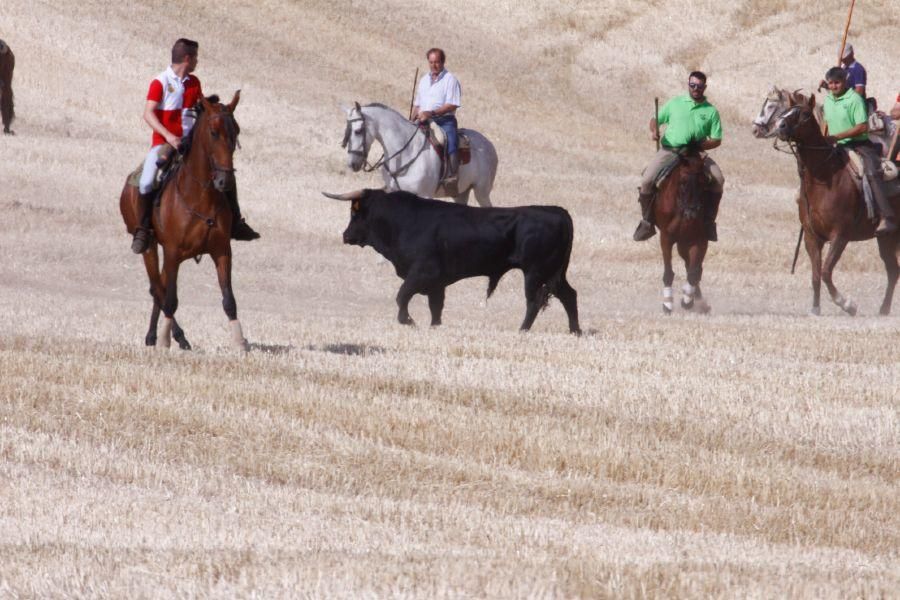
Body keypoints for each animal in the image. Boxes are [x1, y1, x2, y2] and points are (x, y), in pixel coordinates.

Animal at [118, 91, 250, 350]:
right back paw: (174, 337)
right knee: (157, 288)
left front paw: (240, 342)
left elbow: (229, 299)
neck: (200, 196)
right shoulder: (173, 252)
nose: (225, 181)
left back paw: (152, 335)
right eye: (213, 132)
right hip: (150, 246)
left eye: (236, 131)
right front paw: (166, 340)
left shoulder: (222, 251)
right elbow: (171, 299)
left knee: (159, 286)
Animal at [326, 189, 584, 332]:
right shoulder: (436, 283)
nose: (345, 236)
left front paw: (409, 321)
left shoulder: (422, 273)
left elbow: (402, 296)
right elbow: (435, 308)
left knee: (534, 301)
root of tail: (558, 211)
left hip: (535, 272)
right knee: (569, 295)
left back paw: (522, 331)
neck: (402, 221)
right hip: (554, 273)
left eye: (355, 213)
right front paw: (434, 327)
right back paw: (575, 331)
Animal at [342, 102, 500, 207]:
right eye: (346, 132)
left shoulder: (425, 196)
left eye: (358, 131)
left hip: (481, 192)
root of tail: (489, 145)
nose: (352, 164)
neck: (405, 153)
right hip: (461, 193)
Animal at [652, 151, 716, 314]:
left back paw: (697, 301)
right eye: (683, 182)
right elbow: (668, 272)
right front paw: (667, 304)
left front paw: (687, 301)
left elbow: (694, 272)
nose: (692, 213)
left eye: (703, 182)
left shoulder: (699, 240)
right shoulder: (666, 238)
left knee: (693, 268)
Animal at [768, 93, 900, 314]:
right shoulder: (812, 237)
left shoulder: (840, 235)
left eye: (805, 113)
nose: (780, 126)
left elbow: (826, 271)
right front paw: (815, 308)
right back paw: (883, 310)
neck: (823, 177)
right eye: (786, 110)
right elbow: (815, 275)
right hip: (885, 239)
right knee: (893, 271)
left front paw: (847, 304)